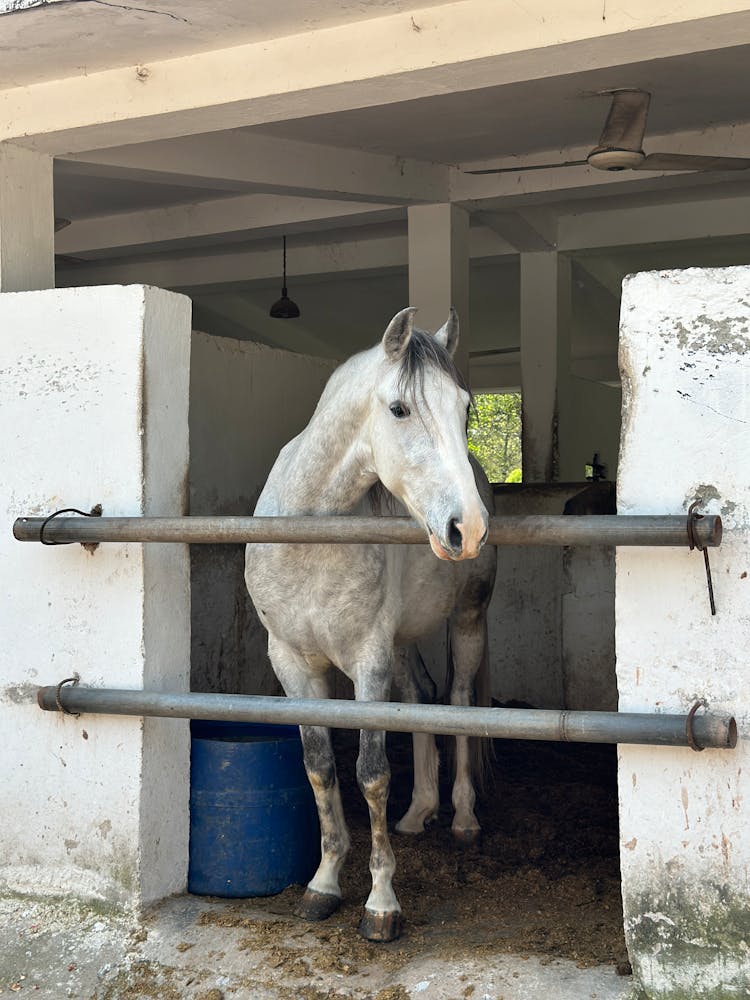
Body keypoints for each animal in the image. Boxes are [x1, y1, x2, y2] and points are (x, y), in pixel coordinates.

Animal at [247, 308, 500, 940]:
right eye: (400, 409)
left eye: (465, 408)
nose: (469, 527)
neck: (310, 536)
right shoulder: (292, 663)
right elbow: (319, 767)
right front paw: (323, 884)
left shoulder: (368, 662)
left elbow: (371, 773)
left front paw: (381, 902)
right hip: (404, 645)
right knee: (421, 698)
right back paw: (419, 811)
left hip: (467, 621)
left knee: (458, 700)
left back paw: (461, 816)